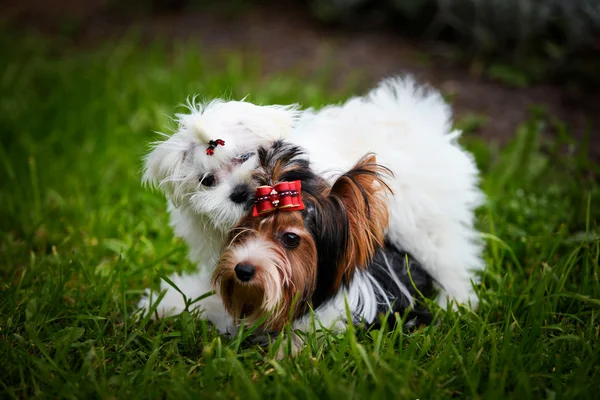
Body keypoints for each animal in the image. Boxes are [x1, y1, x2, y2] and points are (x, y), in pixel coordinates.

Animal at [138, 76, 486, 332]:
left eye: (245, 157)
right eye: (207, 180)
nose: (238, 192)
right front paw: (168, 303)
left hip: (424, 223)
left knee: (448, 257)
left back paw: (458, 302)